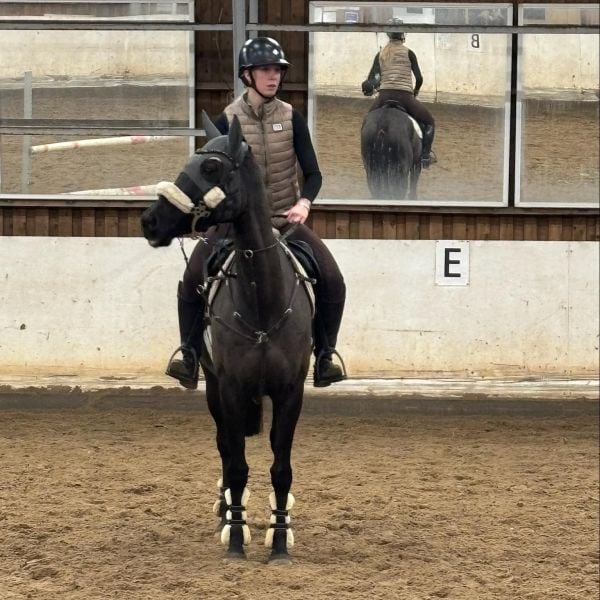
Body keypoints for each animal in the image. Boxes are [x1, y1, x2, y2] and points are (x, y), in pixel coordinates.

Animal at [140, 113, 313, 564]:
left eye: (212, 167)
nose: (150, 221)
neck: (262, 300)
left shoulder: (290, 393)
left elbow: (281, 468)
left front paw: (280, 540)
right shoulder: (232, 388)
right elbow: (236, 465)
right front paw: (236, 539)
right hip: (213, 386)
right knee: (224, 448)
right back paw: (227, 513)